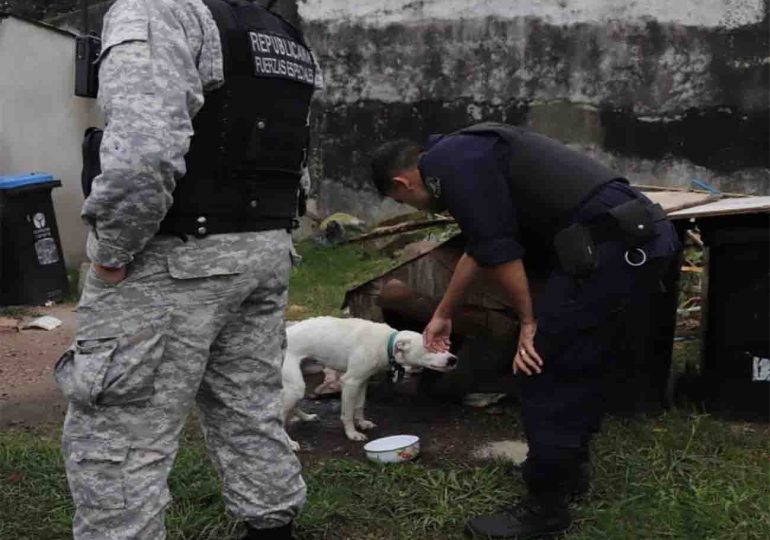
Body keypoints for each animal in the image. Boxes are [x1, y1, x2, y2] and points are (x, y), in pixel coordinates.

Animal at [280, 316, 456, 448]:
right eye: (430, 348)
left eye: (445, 345)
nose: (453, 360)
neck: (386, 342)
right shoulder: (350, 382)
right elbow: (347, 414)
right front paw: (352, 434)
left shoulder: (362, 381)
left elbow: (359, 406)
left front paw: (362, 423)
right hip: (295, 385)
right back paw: (289, 442)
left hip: (298, 381)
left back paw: (306, 417)